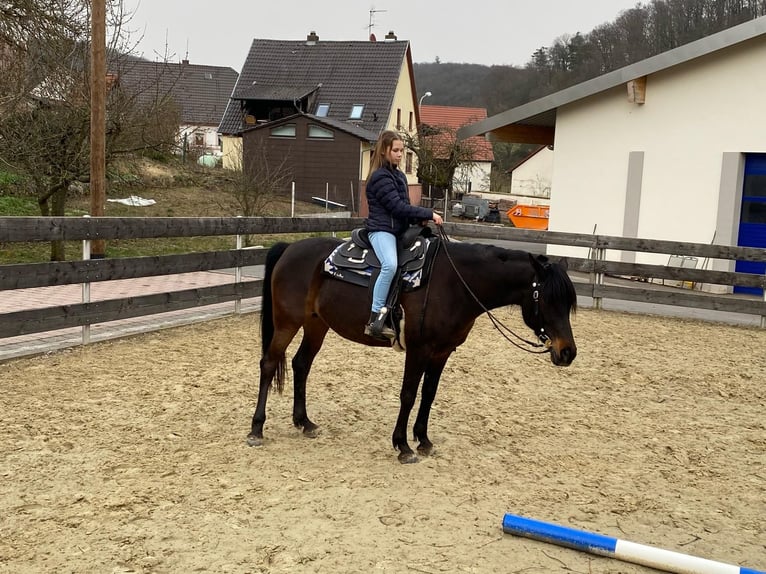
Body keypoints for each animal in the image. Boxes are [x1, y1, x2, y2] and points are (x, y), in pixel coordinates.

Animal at [249, 230, 580, 464]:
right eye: (547, 299)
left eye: (567, 301)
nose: (568, 352)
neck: (455, 283)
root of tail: (289, 248)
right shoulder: (419, 349)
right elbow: (408, 394)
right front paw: (403, 445)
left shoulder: (442, 351)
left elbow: (428, 394)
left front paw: (424, 440)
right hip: (287, 323)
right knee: (269, 363)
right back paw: (256, 429)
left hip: (317, 325)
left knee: (301, 364)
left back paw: (304, 422)